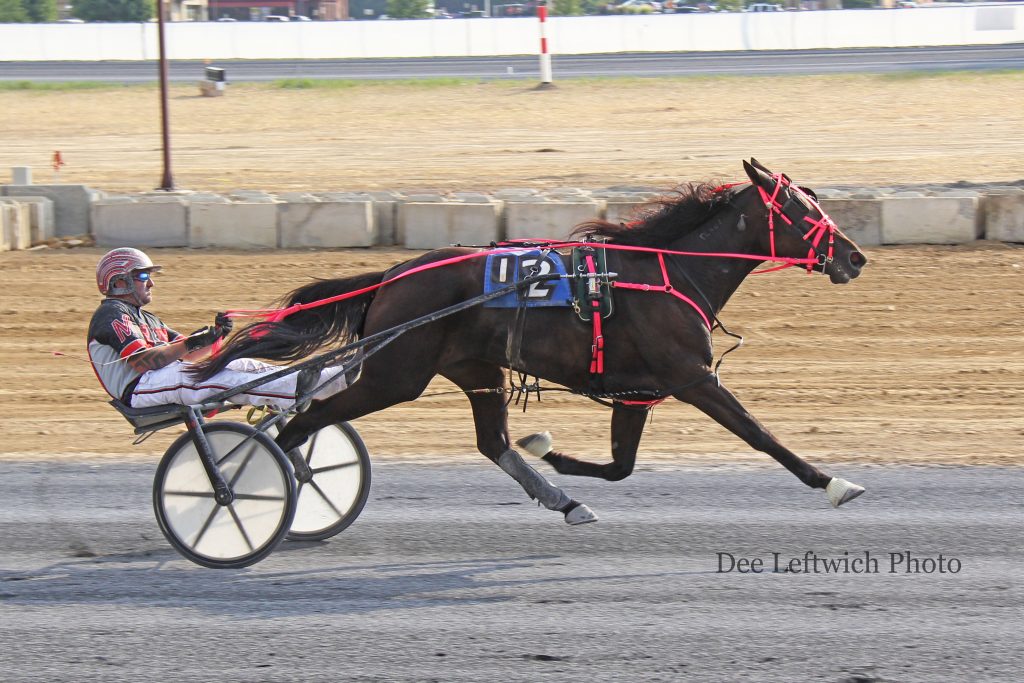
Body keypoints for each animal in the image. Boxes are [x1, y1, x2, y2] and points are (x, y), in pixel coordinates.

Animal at [192, 160, 864, 528]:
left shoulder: (638, 391)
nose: (856, 256)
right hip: (394, 375)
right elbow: (760, 435)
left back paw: (562, 499)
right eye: (805, 211)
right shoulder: (693, 377)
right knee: (302, 422)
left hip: (476, 370)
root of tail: (393, 276)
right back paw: (249, 487)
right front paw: (833, 482)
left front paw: (554, 454)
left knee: (492, 442)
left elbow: (620, 465)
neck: (667, 272)